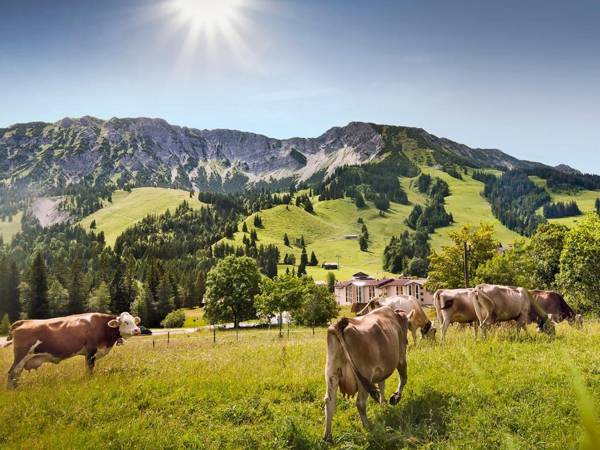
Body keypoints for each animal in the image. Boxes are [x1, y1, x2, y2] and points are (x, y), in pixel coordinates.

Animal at [4, 312, 141, 388]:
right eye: (125, 322)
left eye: (134, 321)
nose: (137, 330)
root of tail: (24, 321)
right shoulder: (91, 351)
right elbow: (90, 369)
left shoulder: (88, 354)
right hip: (21, 355)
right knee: (12, 373)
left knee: (16, 374)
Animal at [324, 306, 412, 440]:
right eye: (408, 324)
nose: (407, 341)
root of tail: (340, 325)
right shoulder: (401, 357)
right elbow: (403, 378)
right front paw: (395, 398)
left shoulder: (381, 369)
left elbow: (382, 385)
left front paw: (383, 404)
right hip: (364, 375)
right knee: (360, 402)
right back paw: (367, 426)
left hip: (332, 374)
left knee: (329, 401)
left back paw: (328, 436)